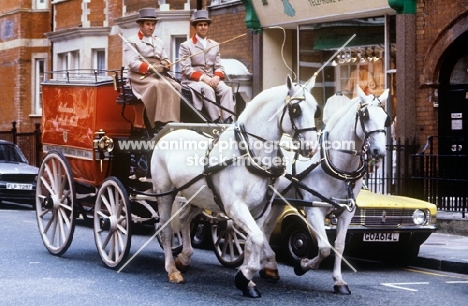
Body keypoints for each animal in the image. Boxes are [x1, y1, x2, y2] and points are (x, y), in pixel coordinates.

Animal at [150, 75, 322, 298]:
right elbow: (257, 238)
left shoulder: (260, 209)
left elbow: (253, 242)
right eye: (295, 109)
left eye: (316, 109)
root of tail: (167, 134)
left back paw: (184, 258)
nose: (312, 148)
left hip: (197, 197)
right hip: (164, 193)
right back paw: (172, 269)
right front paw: (244, 277)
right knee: (166, 230)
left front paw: (249, 280)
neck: (248, 155)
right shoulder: (235, 207)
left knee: (184, 219)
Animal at [258, 86, 390, 294]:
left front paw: (339, 281)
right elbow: (325, 247)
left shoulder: (347, 212)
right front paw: (302, 265)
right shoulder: (314, 210)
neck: (337, 164)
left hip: (279, 201)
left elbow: (339, 246)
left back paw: (269, 266)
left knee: (266, 227)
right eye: (365, 115)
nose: (379, 152)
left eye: (386, 118)